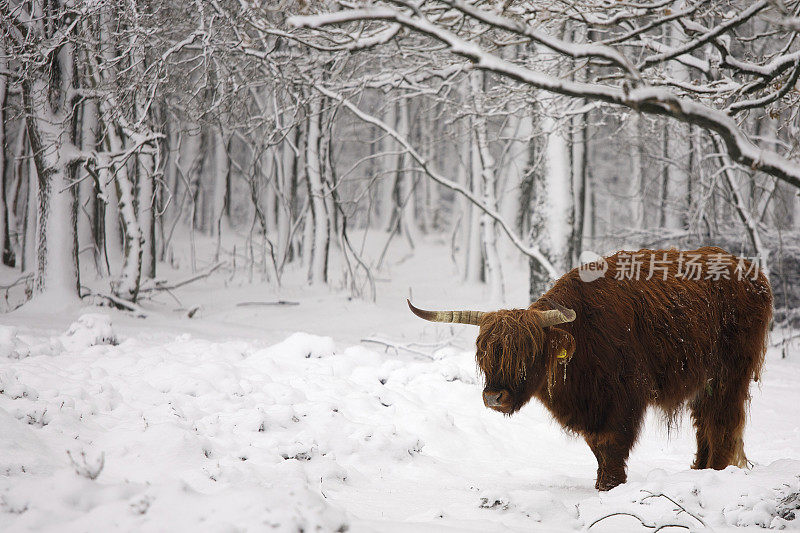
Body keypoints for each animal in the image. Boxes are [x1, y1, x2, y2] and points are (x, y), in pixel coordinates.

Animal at [410, 247, 772, 488]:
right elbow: (597, 448)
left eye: (527, 353)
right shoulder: (590, 408)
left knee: (723, 423)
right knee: (705, 424)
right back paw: (700, 469)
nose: (494, 397)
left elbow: (611, 446)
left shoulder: (624, 399)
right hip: (704, 382)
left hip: (730, 374)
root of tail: (750, 272)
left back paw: (714, 474)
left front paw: (610, 486)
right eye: (485, 354)